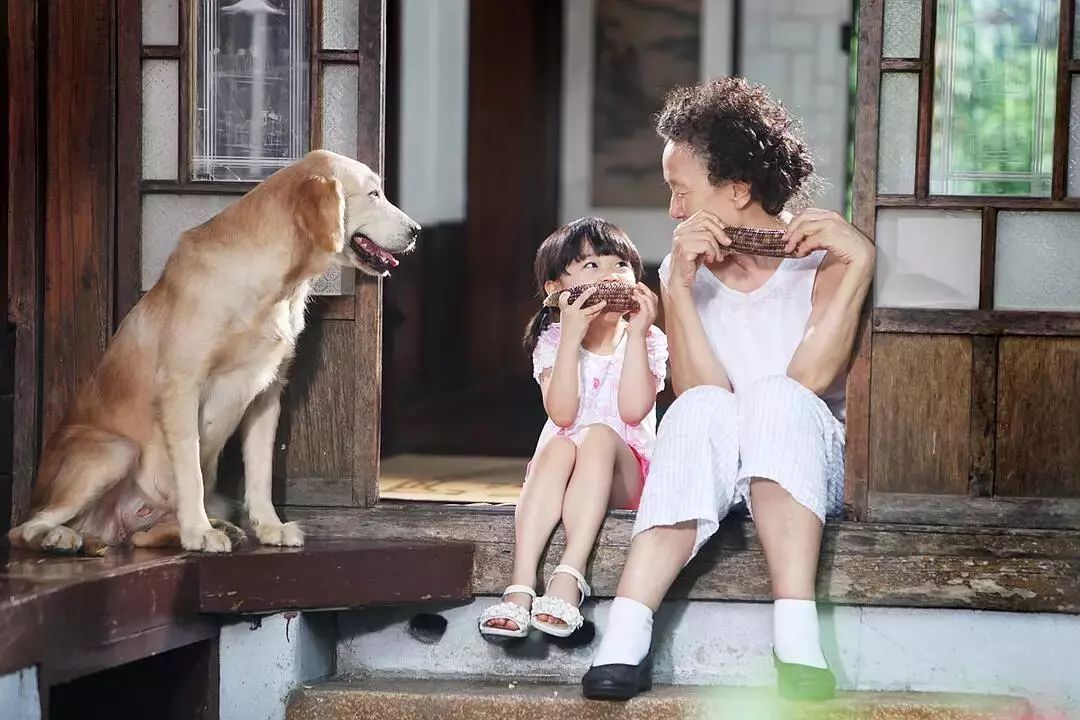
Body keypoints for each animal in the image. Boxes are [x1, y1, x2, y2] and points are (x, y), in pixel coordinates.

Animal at [7, 151, 416, 557]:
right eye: (374, 194)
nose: (416, 231)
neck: (277, 285)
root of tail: (107, 528)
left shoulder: (267, 395)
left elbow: (260, 472)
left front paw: (269, 526)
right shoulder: (181, 386)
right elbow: (190, 468)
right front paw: (198, 532)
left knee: (138, 537)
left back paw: (208, 529)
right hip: (116, 451)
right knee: (25, 527)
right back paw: (60, 538)